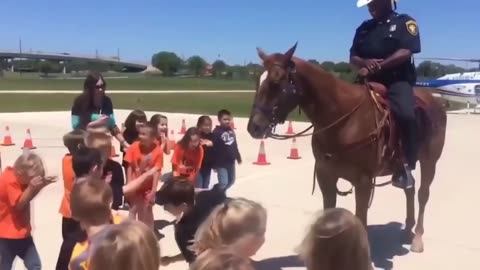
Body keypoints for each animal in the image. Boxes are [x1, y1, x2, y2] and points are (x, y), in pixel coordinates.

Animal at [248, 43, 446, 252]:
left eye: (276, 82)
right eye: (257, 81)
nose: (254, 127)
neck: (344, 120)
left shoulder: (364, 182)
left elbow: (361, 218)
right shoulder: (326, 176)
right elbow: (328, 213)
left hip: (429, 161)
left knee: (423, 194)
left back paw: (417, 238)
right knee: (410, 189)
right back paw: (407, 230)